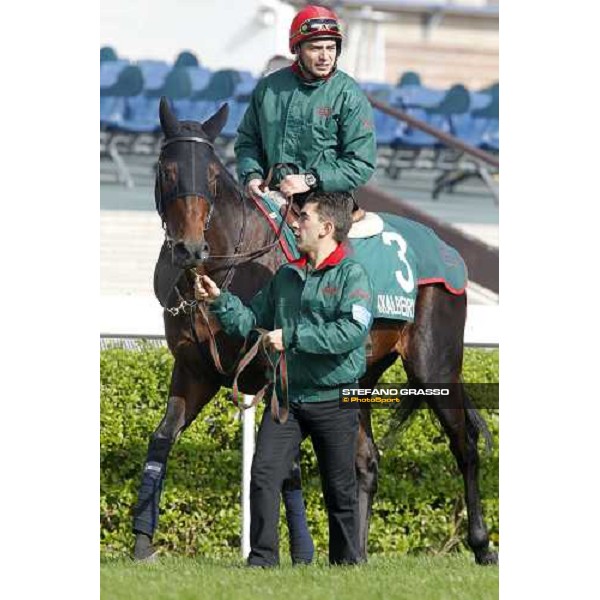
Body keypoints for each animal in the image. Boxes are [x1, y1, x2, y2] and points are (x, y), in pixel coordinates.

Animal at [134, 96, 500, 564]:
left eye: (213, 176)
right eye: (167, 171)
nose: (190, 248)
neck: (232, 263)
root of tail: (447, 249)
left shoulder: (273, 374)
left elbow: (285, 465)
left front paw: (298, 550)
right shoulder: (194, 371)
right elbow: (162, 439)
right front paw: (143, 542)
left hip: (434, 366)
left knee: (465, 445)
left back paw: (481, 545)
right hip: (359, 375)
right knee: (366, 460)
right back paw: (355, 550)